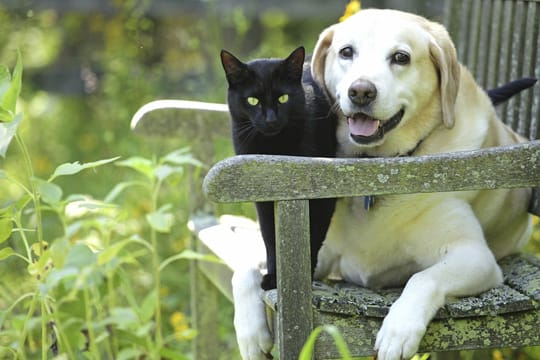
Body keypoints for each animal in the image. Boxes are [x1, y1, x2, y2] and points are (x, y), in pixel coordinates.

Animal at [220, 47, 338, 290]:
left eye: (283, 98)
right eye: (253, 100)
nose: (271, 120)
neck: (274, 148)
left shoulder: (322, 195)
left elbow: (311, 235)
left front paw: (299, 277)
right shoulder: (264, 197)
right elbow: (270, 237)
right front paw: (274, 277)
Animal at [310, 8, 532, 360]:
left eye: (400, 57)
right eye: (346, 52)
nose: (361, 91)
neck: (377, 170)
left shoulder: (474, 257)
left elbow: (423, 277)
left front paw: (398, 330)